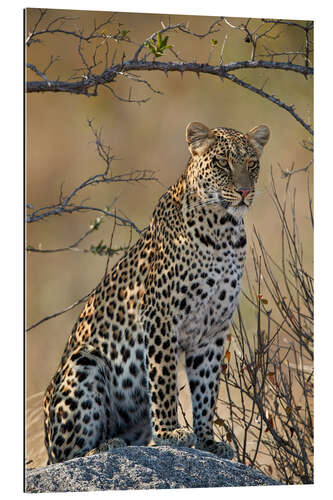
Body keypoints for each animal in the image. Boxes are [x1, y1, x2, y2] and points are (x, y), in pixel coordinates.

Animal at [42, 121, 268, 464]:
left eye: (252, 164)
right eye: (222, 163)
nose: (244, 192)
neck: (223, 231)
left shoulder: (212, 331)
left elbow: (207, 390)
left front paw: (207, 441)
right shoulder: (160, 317)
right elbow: (163, 379)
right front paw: (170, 432)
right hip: (85, 361)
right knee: (69, 455)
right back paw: (104, 446)